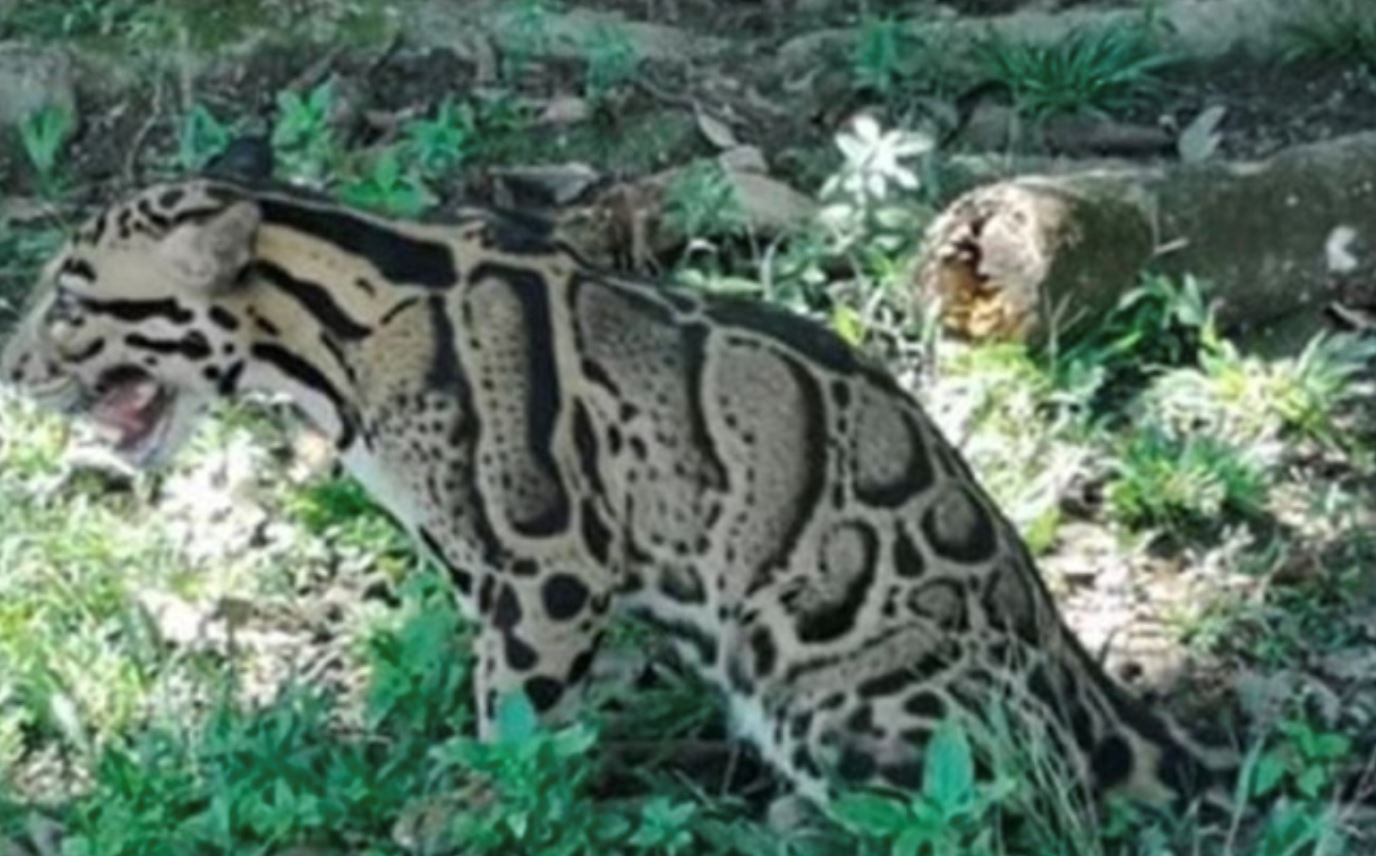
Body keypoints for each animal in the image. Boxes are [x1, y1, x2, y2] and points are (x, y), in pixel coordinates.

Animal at [0, 162, 1241, 814]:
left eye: (69, 301)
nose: (11, 367)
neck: (343, 316)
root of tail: (1084, 687)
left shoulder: (541, 565)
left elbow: (509, 717)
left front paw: (475, 807)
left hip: (809, 667)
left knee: (994, 798)